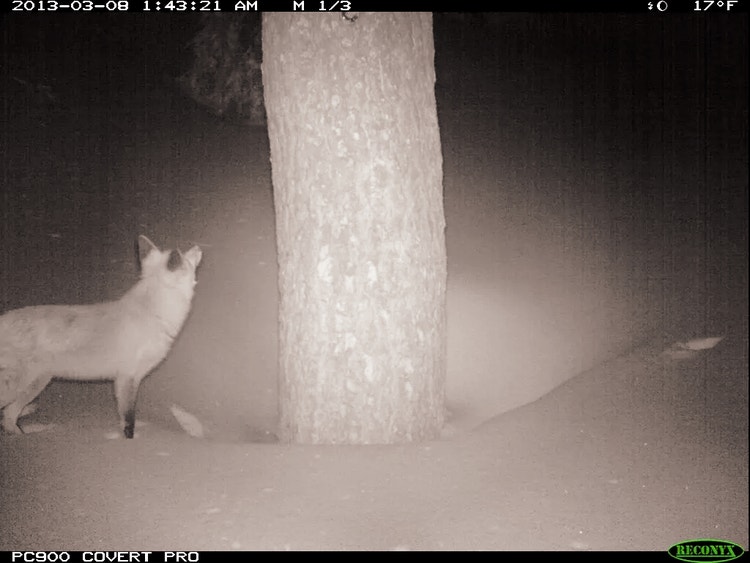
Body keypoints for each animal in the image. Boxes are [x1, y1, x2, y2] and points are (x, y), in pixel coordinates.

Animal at [0, 235, 202, 439]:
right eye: (186, 257)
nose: (199, 246)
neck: (154, 314)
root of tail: (4, 318)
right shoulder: (127, 378)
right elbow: (129, 420)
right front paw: (130, 442)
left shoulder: (126, 380)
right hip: (23, 384)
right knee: (7, 413)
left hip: (37, 382)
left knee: (8, 416)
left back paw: (22, 434)